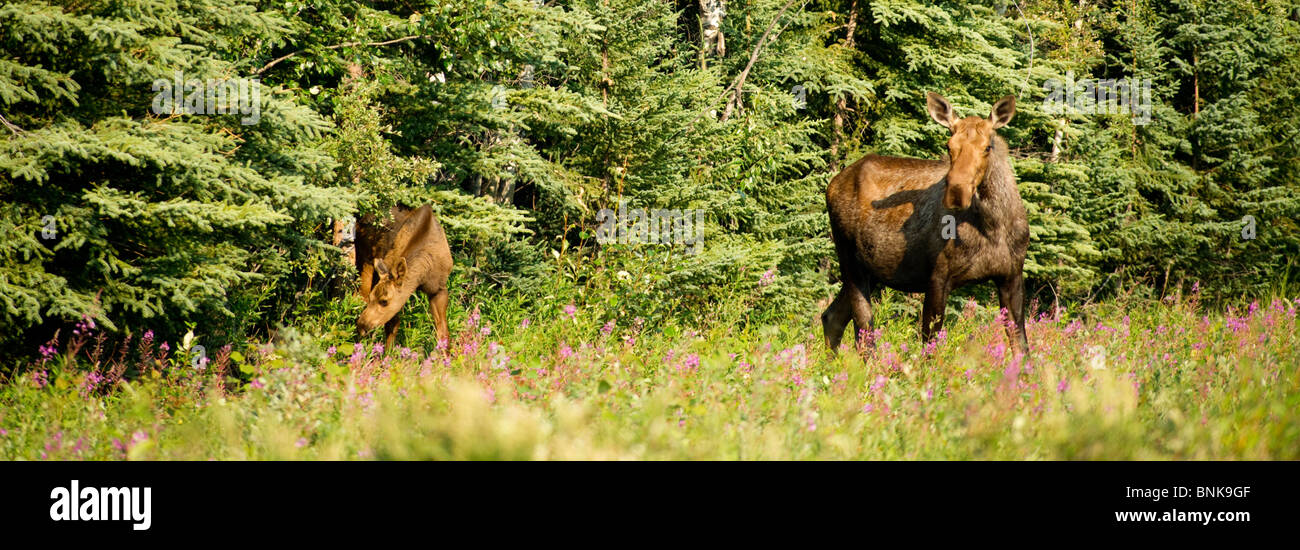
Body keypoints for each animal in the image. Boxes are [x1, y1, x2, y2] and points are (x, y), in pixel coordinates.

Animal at [354, 204, 453, 350]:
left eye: (384, 301)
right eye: (373, 297)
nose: (361, 326)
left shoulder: (439, 289)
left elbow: (443, 333)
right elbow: (392, 327)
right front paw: (387, 354)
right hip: (365, 260)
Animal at [822, 92, 1029, 356]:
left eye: (987, 147)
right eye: (949, 146)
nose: (956, 191)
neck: (993, 227)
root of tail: (832, 184)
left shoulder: (1011, 275)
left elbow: (1022, 349)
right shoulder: (938, 277)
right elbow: (930, 347)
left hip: (871, 270)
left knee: (832, 317)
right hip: (849, 259)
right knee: (864, 331)